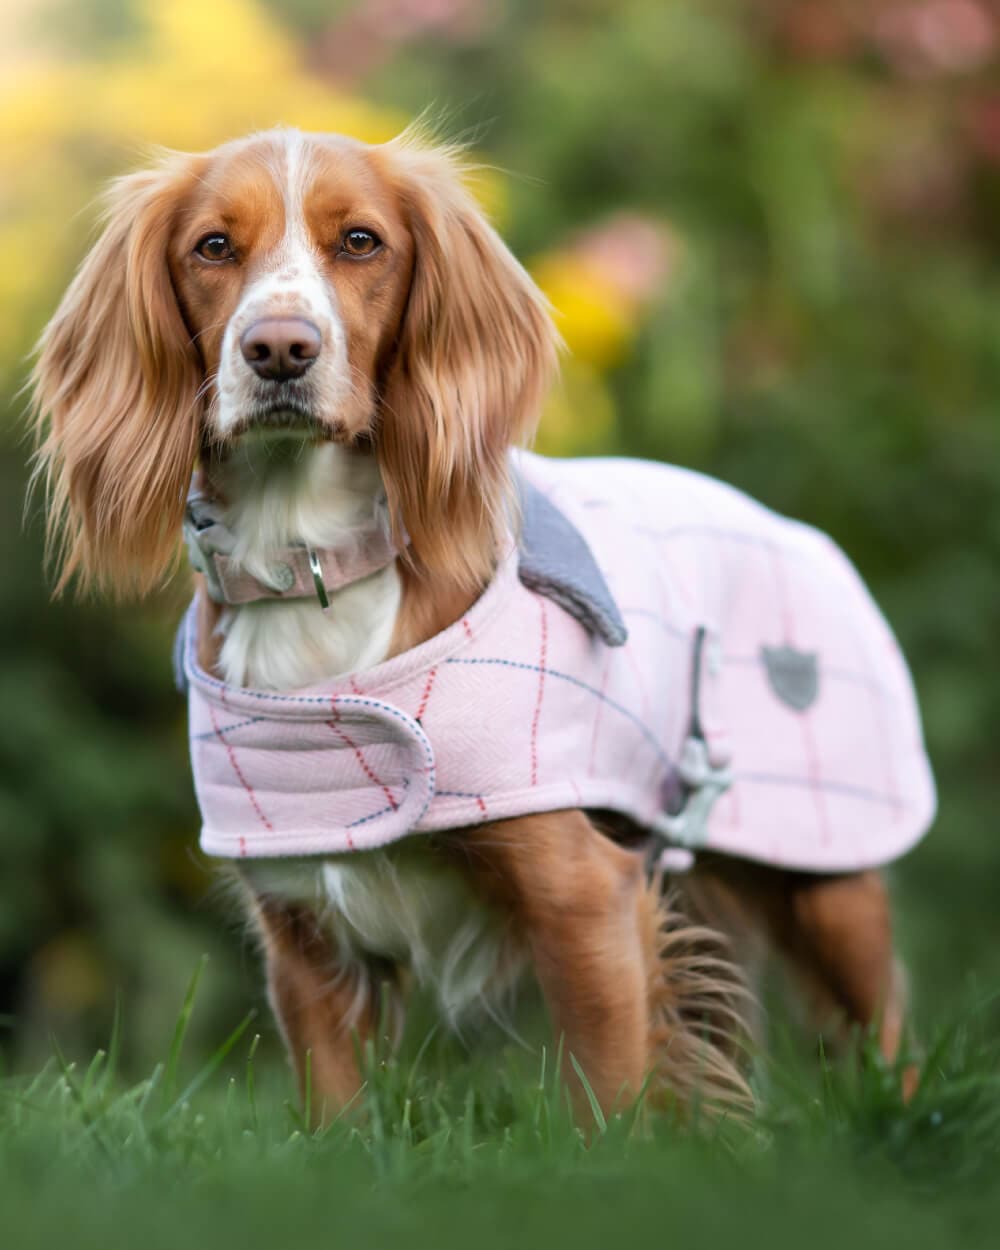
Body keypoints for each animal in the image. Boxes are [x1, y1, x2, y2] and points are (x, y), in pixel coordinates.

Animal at [33, 126, 940, 1125]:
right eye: (213, 247)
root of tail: (798, 529)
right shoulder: (306, 933)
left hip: (829, 886)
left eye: (361, 241)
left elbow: (607, 1098)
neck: (313, 563)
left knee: (886, 1037)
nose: (279, 349)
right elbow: (336, 1109)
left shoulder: (583, 897)